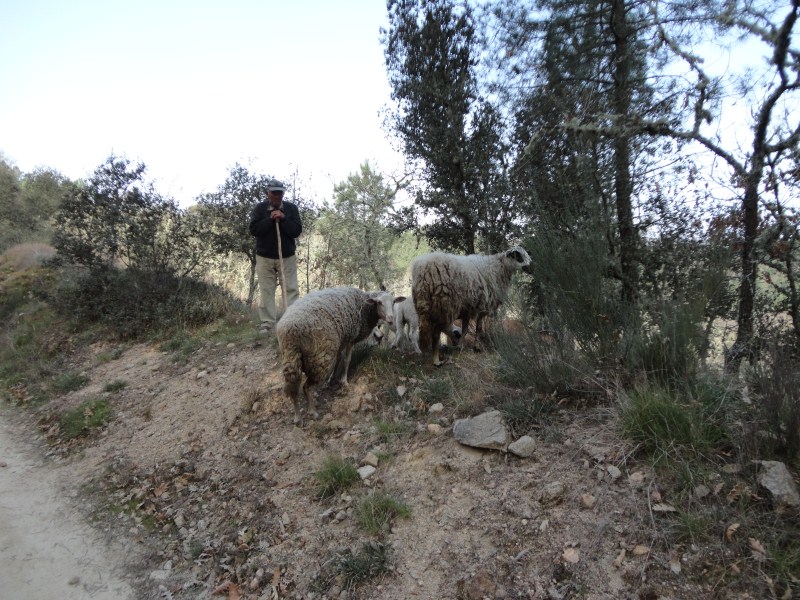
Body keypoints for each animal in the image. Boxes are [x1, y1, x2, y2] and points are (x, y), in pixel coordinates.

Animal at [276, 286, 404, 424]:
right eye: (379, 302)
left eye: (394, 302)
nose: (391, 318)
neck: (365, 308)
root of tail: (290, 329)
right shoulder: (350, 339)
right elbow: (347, 360)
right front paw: (344, 381)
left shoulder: (341, 340)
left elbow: (338, 359)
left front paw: (332, 379)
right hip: (319, 357)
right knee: (306, 387)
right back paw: (312, 411)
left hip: (290, 355)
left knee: (293, 386)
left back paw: (297, 416)